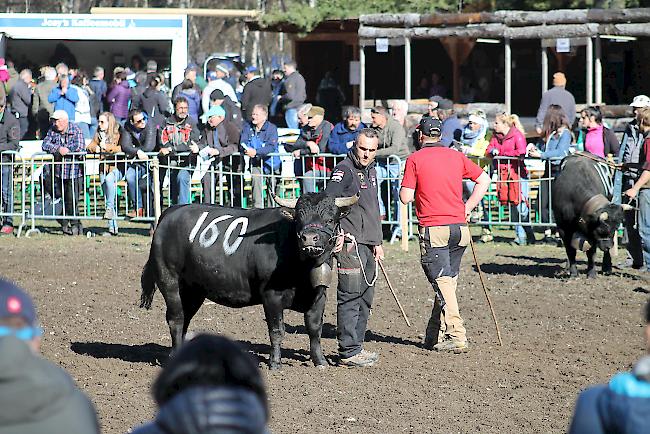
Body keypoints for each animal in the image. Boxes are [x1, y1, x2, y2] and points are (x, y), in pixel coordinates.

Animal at [139, 192, 356, 368]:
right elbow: (277, 330)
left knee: (185, 319)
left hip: (193, 291)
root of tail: (171, 211)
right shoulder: (271, 296)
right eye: (299, 218)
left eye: (330, 219)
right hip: (170, 282)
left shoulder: (319, 296)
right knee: (176, 319)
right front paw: (275, 363)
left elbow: (314, 328)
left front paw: (320, 361)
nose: (309, 238)